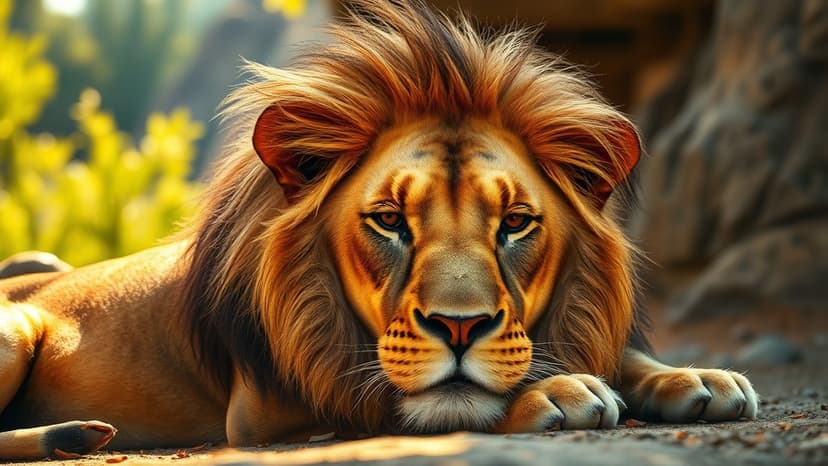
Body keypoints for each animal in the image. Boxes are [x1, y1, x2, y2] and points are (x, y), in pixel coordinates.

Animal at [0, 0, 757, 459]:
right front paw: (558, 391)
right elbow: (421, 399)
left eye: (514, 224)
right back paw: (70, 435)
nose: (460, 328)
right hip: (16, 328)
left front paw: (698, 377)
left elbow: (617, 355)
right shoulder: (267, 411)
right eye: (389, 222)